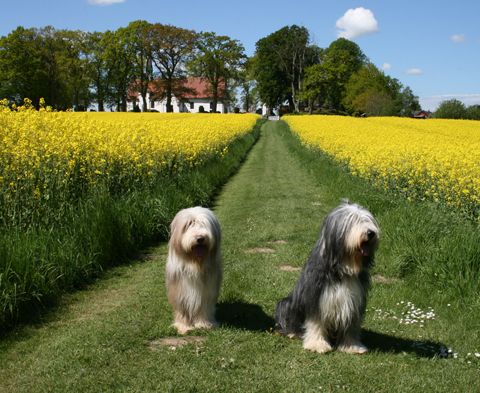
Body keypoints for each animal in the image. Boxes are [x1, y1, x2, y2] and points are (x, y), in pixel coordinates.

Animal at [166, 205, 222, 334]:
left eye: (204, 224)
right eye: (189, 224)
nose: (200, 238)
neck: (194, 264)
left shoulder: (207, 291)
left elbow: (203, 307)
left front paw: (203, 324)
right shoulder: (180, 291)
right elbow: (182, 311)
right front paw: (184, 327)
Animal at [276, 201, 380, 354]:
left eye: (369, 220)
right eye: (352, 220)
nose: (371, 233)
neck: (343, 269)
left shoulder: (353, 301)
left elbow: (351, 327)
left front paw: (352, 346)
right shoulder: (317, 298)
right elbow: (316, 323)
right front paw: (317, 344)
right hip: (286, 304)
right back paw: (292, 332)